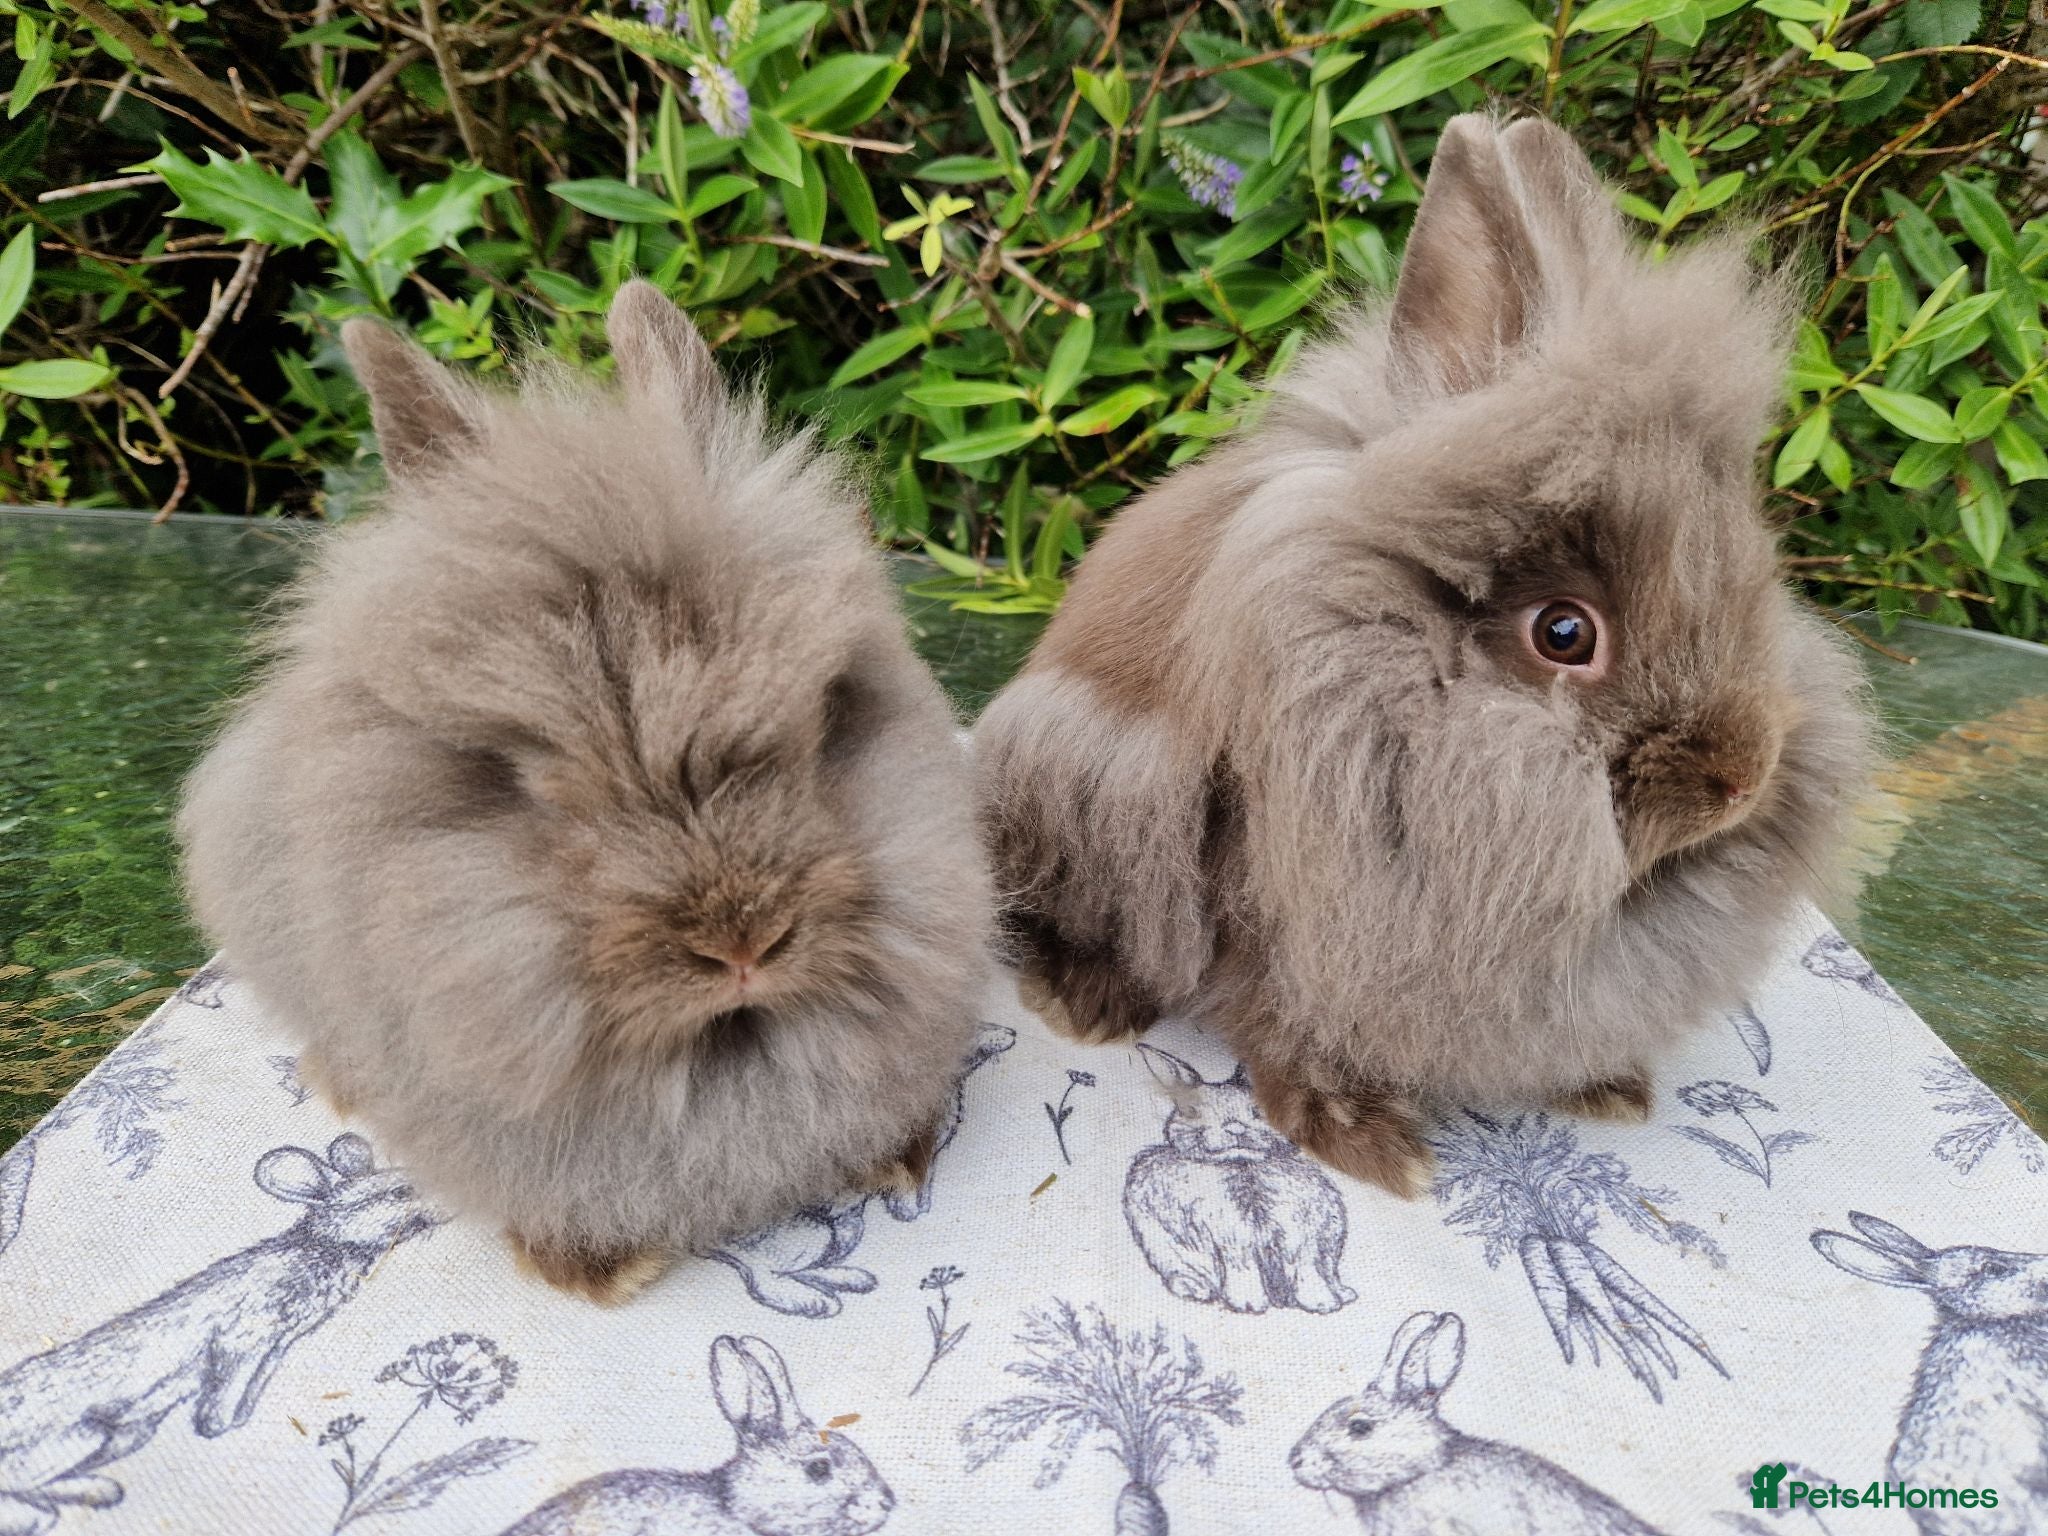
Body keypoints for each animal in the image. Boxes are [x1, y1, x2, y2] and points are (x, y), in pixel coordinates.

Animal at [0, 1134, 435, 1535]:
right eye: (400, 1192)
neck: (325, 1248)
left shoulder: (275, 1347)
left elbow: (250, 1391)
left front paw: (236, 1417)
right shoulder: (240, 1338)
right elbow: (223, 1400)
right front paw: (216, 1424)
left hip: (127, 1436)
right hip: (76, 1439)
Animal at [177, 282, 995, 1304]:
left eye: (822, 717)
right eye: (533, 785)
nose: (746, 944)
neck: (723, 1047)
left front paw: (898, 1160)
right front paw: (601, 1272)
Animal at [974, 110, 1873, 1196]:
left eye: (1749, 565)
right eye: (1563, 633)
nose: (1742, 775)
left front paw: (1607, 1087)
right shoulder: (1284, 917)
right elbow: (1286, 1026)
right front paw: (1366, 1142)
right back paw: (1086, 1002)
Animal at [1123, 1043, 1354, 1315]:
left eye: (1260, 1110)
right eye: (1190, 1111)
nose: (1234, 1128)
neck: (1243, 1165)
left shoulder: (1302, 1236)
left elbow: (1307, 1269)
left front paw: (1322, 1303)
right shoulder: (1232, 1240)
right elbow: (1243, 1268)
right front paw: (1249, 1305)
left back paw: (1344, 1293)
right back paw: (1197, 1290)